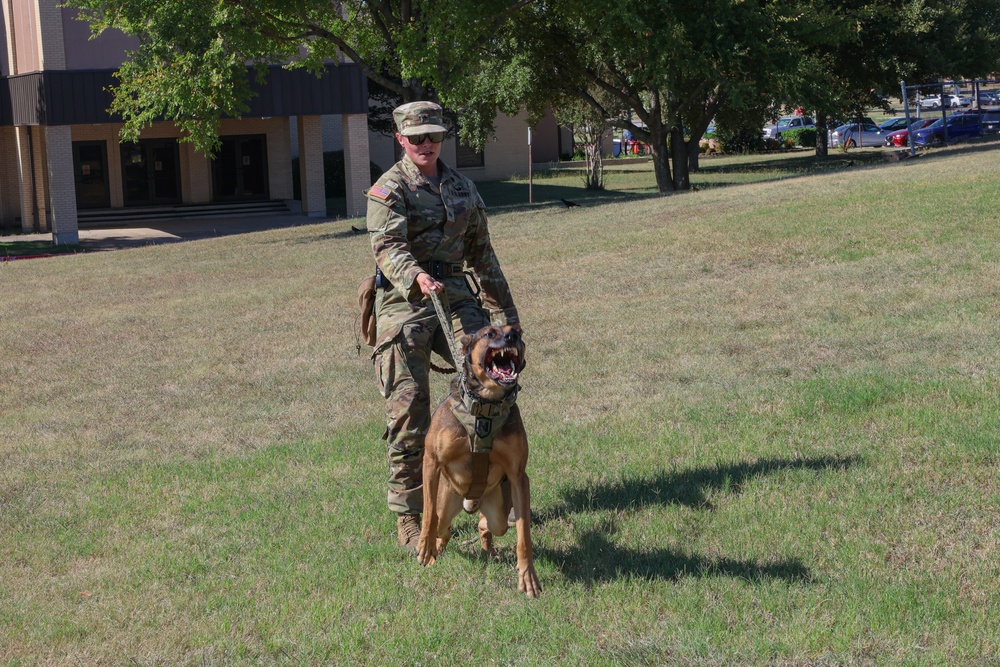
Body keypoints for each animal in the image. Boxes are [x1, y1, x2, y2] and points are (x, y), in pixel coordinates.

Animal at [414, 324, 540, 600]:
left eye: (517, 331)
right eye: (490, 333)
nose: (512, 336)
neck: (487, 404)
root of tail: (473, 498)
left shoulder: (518, 476)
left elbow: (523, 535)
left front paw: (528, 576)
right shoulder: (431, 461)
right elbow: (428, 514)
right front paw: (424, 546)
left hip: (498, 508)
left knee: (489, 525)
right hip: (447, 499)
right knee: (442, 525)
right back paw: (435, 548)